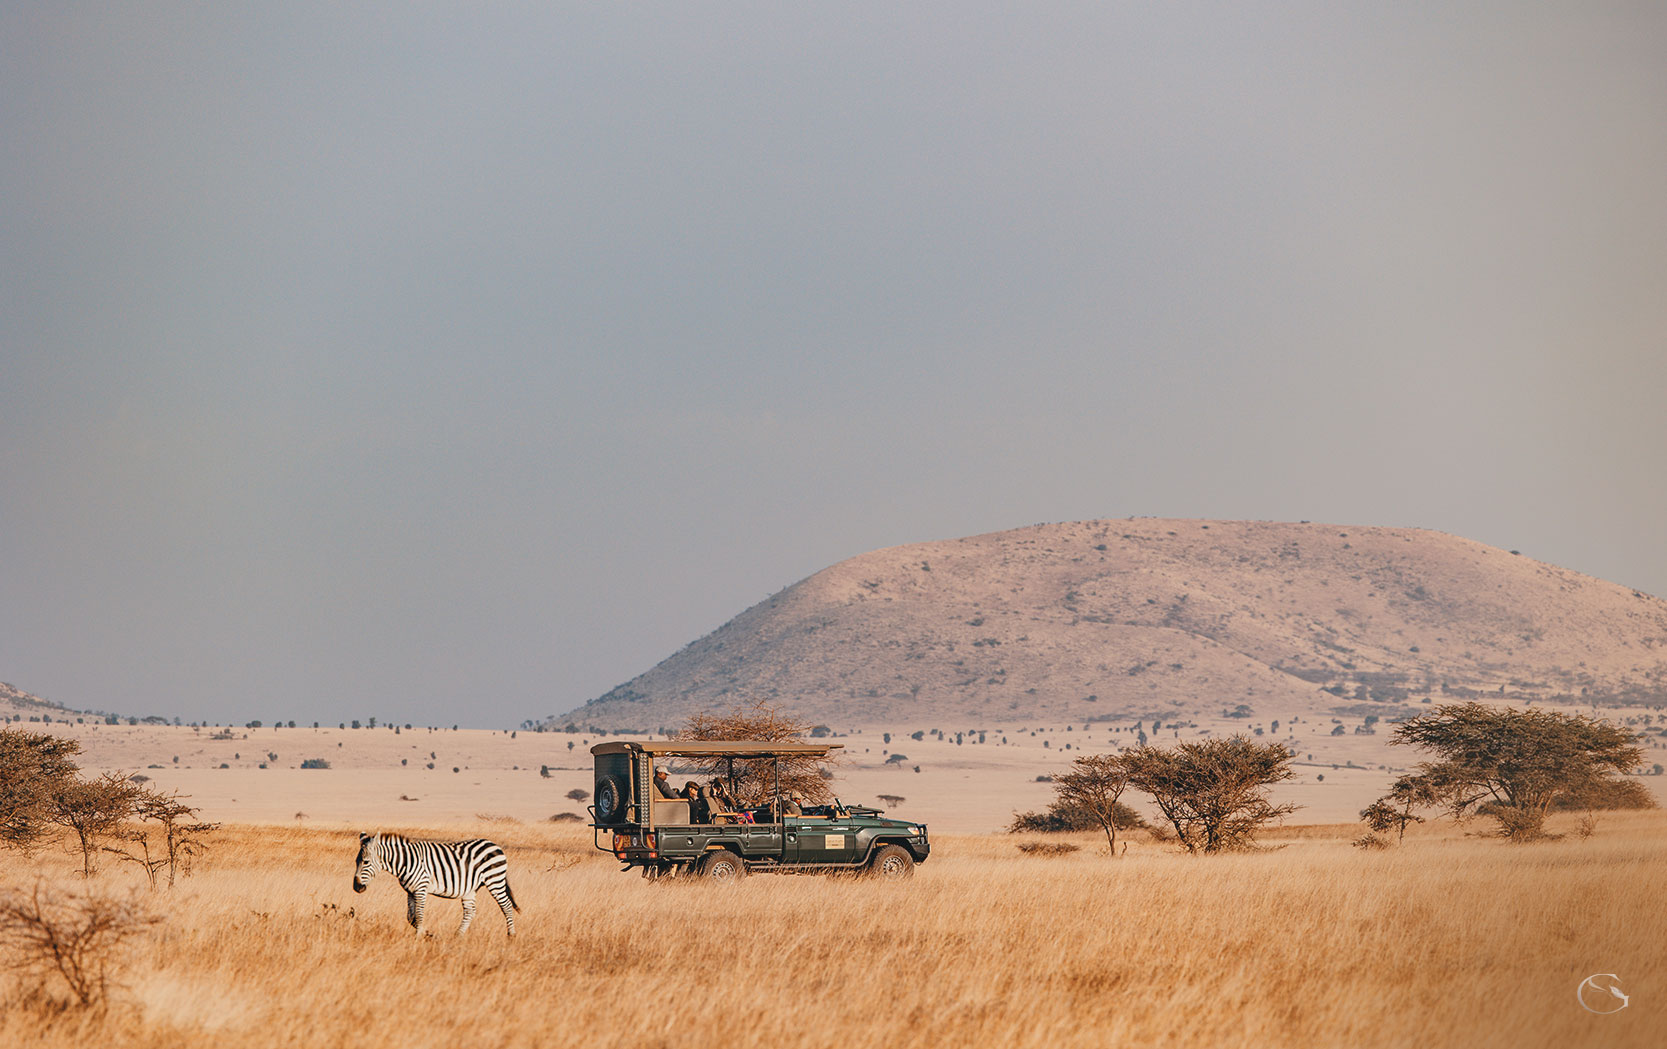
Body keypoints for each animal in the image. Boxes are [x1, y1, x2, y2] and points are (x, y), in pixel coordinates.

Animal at [356, 830, 520, 933]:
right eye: (356, 861)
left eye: (365, 862)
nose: (356, 887)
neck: (406, 861)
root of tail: (494, 845)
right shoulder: (410, 891)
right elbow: (411, 918)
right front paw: (427, 934)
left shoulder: (421, 888)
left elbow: (419, 916)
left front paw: (419, 937)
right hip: (470, 888)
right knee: (470, 912)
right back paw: (457, 936)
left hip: (495, 880)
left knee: (506, 906)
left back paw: (511, 936)